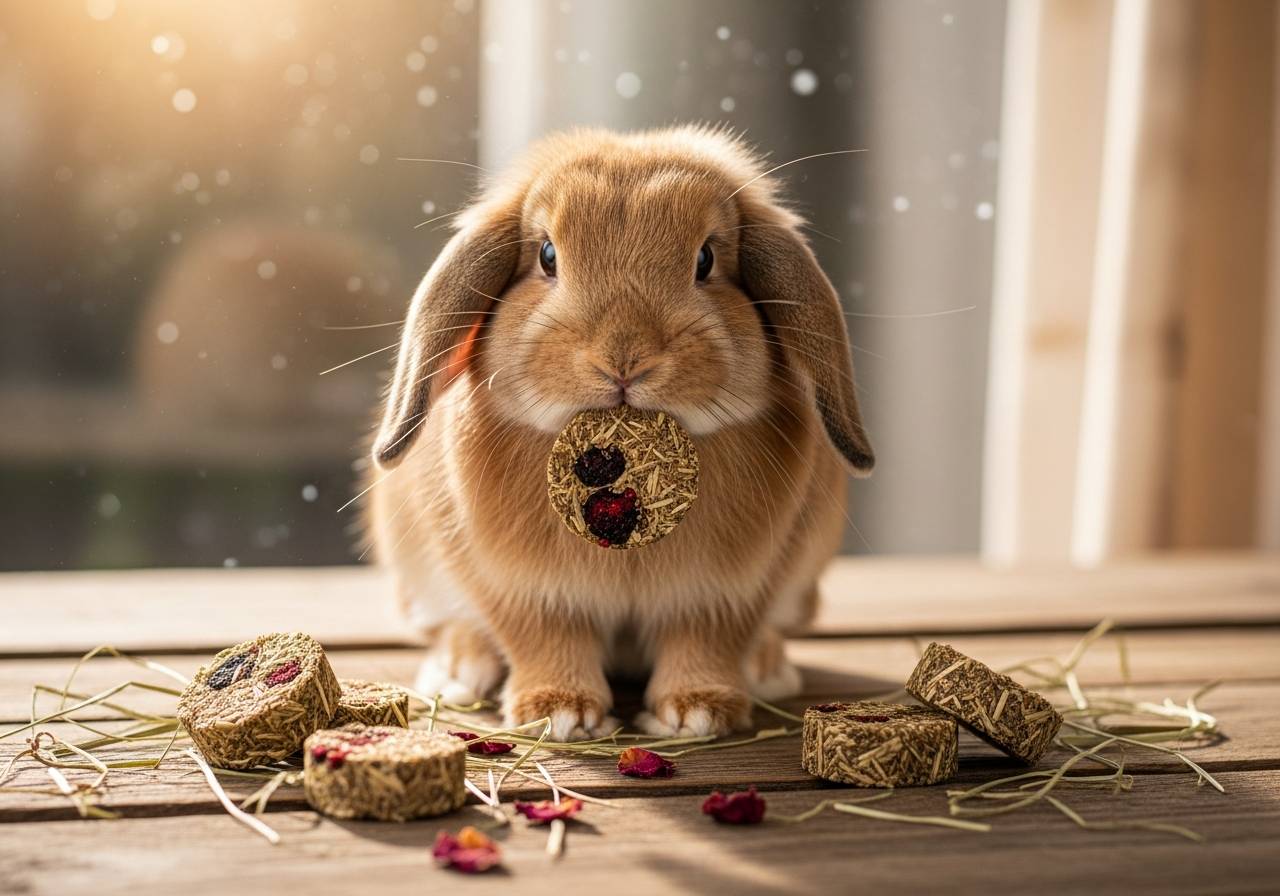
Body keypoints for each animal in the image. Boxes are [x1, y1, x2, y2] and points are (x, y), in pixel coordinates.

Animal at [365, 125, 873, 741]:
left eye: (706, 258)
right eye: (547, 256)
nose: (624, 358)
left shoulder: (728, 593)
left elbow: (706, 642)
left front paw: (696, 713)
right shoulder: (522, 590)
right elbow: (542, 639)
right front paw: (559, 713)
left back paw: (766, 668)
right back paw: (461, 669)